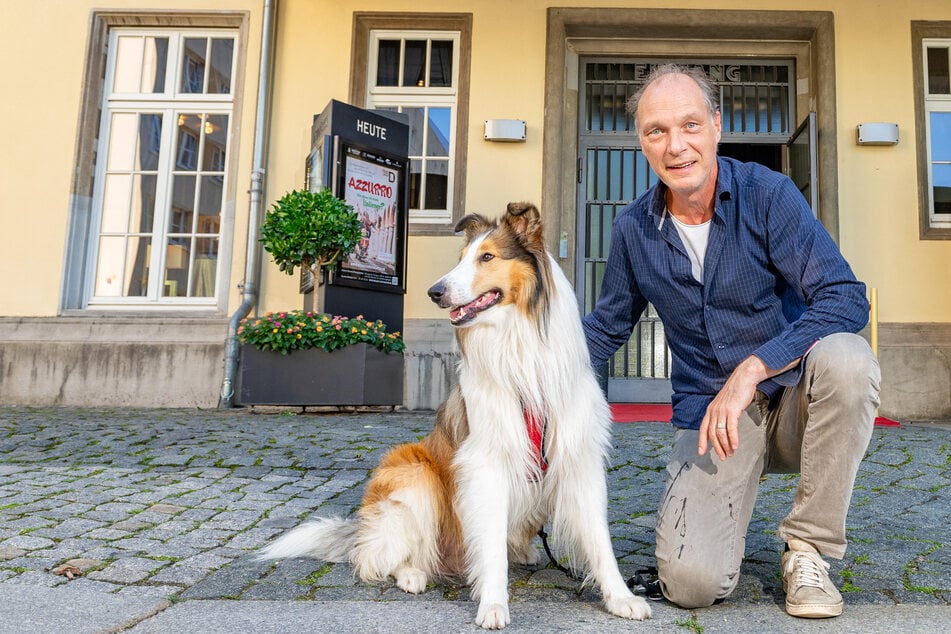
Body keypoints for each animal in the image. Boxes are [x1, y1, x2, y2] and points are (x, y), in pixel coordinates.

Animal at [256, 202, 652, 628]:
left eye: (487, 257)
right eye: (461, 258)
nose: (434, 292)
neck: (521, 349)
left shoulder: (578, 460)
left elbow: (599, 540)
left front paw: (621, 598)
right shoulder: (486, 462)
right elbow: (490, 546)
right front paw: (493, 604)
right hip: (414, 474)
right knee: (381, 556)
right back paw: (412, 574)